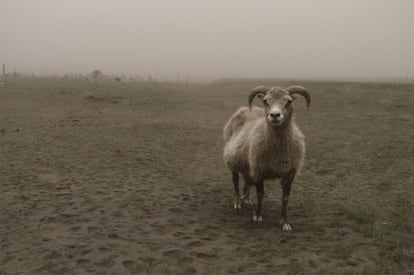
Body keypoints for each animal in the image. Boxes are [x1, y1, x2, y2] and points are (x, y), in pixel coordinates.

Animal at [223, 85, 310, 232]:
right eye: (265, 101)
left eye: (289, 101)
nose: (274, 115)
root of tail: (244, 109)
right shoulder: (259, 169)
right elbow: (260, 194)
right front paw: (257, 217)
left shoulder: (290, 173)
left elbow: (285, 198)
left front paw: (285, 222)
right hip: (233, 159)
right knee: (235, 181)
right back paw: (237, 201)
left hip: (248, 163)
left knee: (247, 179)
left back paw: (246, 198)